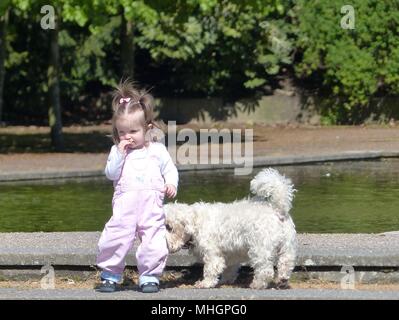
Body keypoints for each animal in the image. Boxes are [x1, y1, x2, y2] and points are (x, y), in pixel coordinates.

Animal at [164, 169, 298, 288]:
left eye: (169, 227)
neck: (196, 223)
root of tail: (276, 208)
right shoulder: (230, 254)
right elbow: (229, 269)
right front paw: (226, 280)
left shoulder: (212, 253)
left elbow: (211, 268)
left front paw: (205, 283)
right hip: (287, 244)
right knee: (287, 261)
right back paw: (282, 279)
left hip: (260, 248)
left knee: (265, 269)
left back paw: (258, 284)